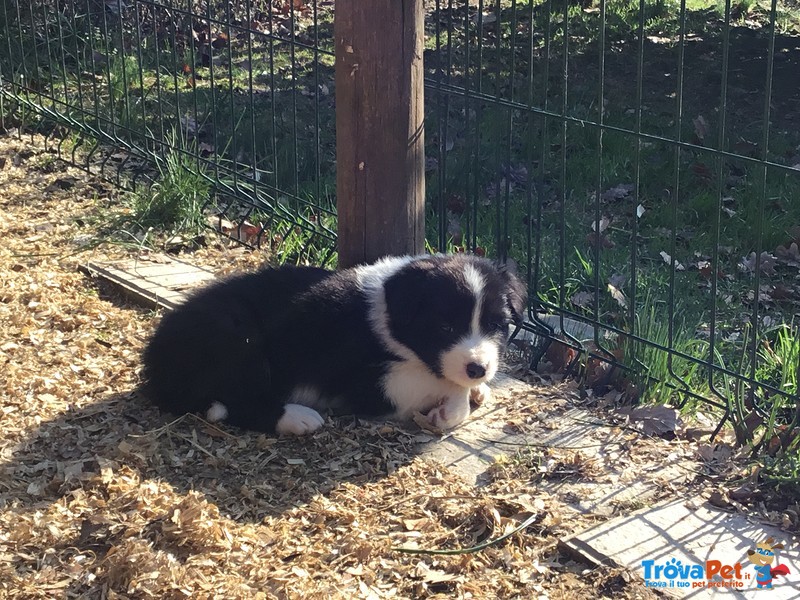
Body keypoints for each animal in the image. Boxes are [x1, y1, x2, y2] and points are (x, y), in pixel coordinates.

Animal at [141, 254, 528, 436]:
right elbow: (442, 383)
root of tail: (154, 360)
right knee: (237, 400)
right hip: (237, 334)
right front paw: (450, 406)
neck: (389, 311)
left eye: (496, 326)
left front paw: (478, 388)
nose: (477, 367)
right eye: (445, 327)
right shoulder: (367, 384)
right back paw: (297, 418)